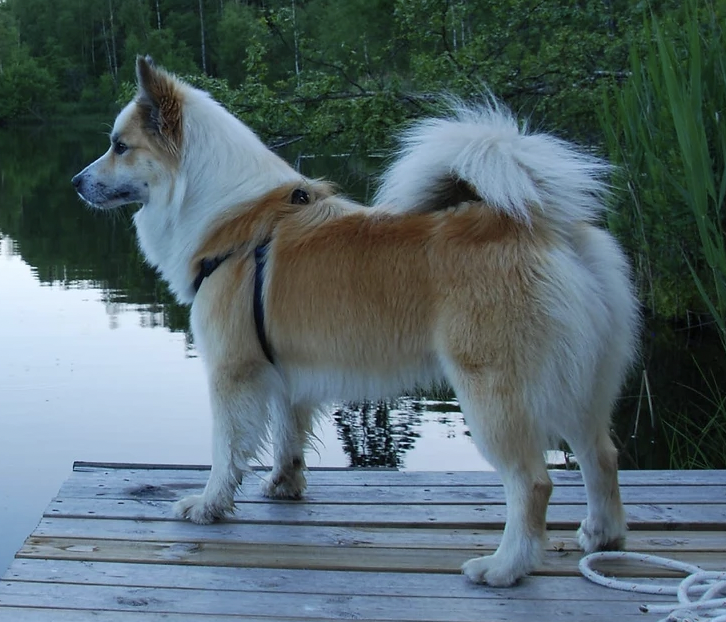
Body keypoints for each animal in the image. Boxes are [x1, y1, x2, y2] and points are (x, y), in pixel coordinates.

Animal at [72, 56, 644, 588]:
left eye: (119, 146)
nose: (76, 181)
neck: (227, 214)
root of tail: (539, 223)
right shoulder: (285, 371)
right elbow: (287, 436)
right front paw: (284, 486)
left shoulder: (232, 370)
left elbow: (226, 450)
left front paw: (210, 505)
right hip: (581, 380)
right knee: (601, 455)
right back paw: (602, 536)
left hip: (496, 392)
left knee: (533, 482)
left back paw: (506, 567)